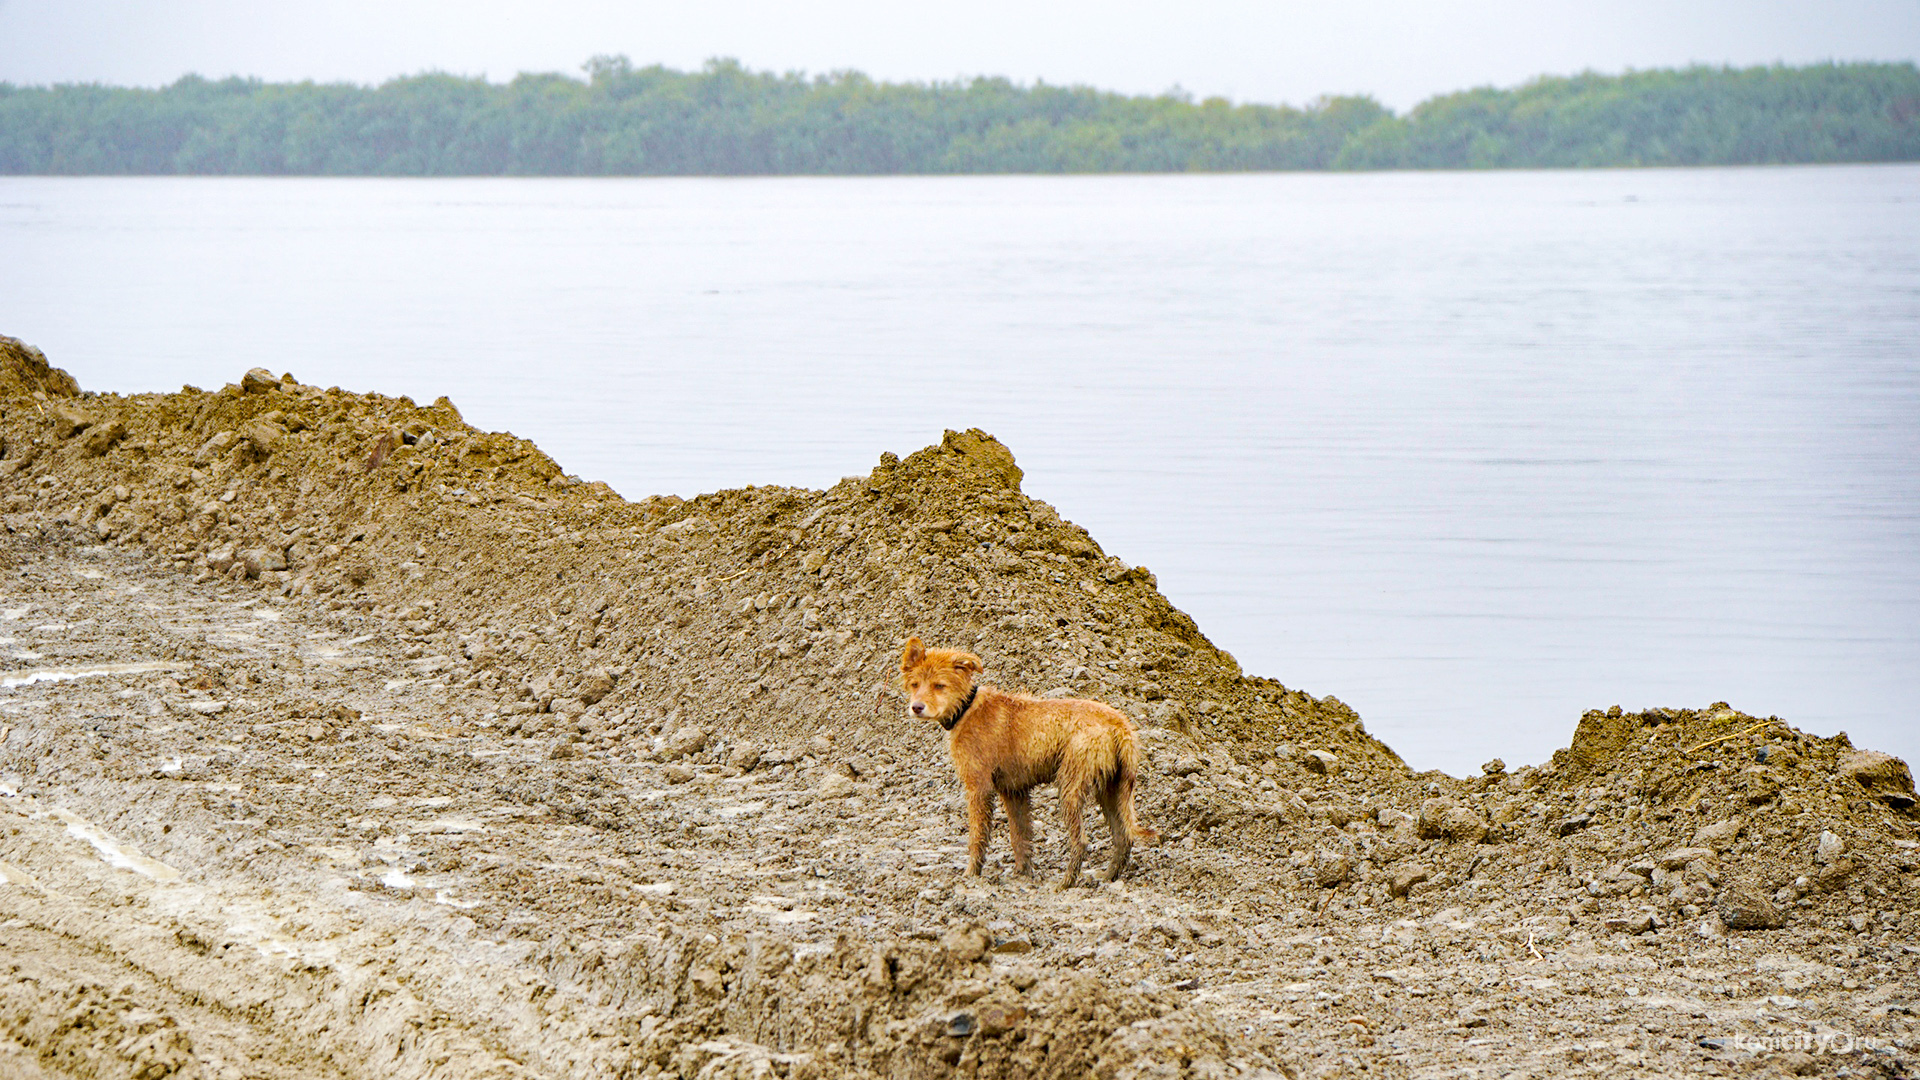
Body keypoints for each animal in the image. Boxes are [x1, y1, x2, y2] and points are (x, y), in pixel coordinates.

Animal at [898, 630, 1152, 883]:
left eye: (939, 685)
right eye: (915, 684)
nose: (916, 707)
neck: (966, 708)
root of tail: (1119, 725)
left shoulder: (978, 786)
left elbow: (977, 836)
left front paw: (971, 874)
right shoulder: (1014, 790)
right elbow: (1019, 835)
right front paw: (1022, 873)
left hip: (1071, 784)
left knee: (1081, 841)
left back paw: (1065, 884)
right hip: (1114, 787)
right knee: (1123, 836)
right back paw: (1107, 876)